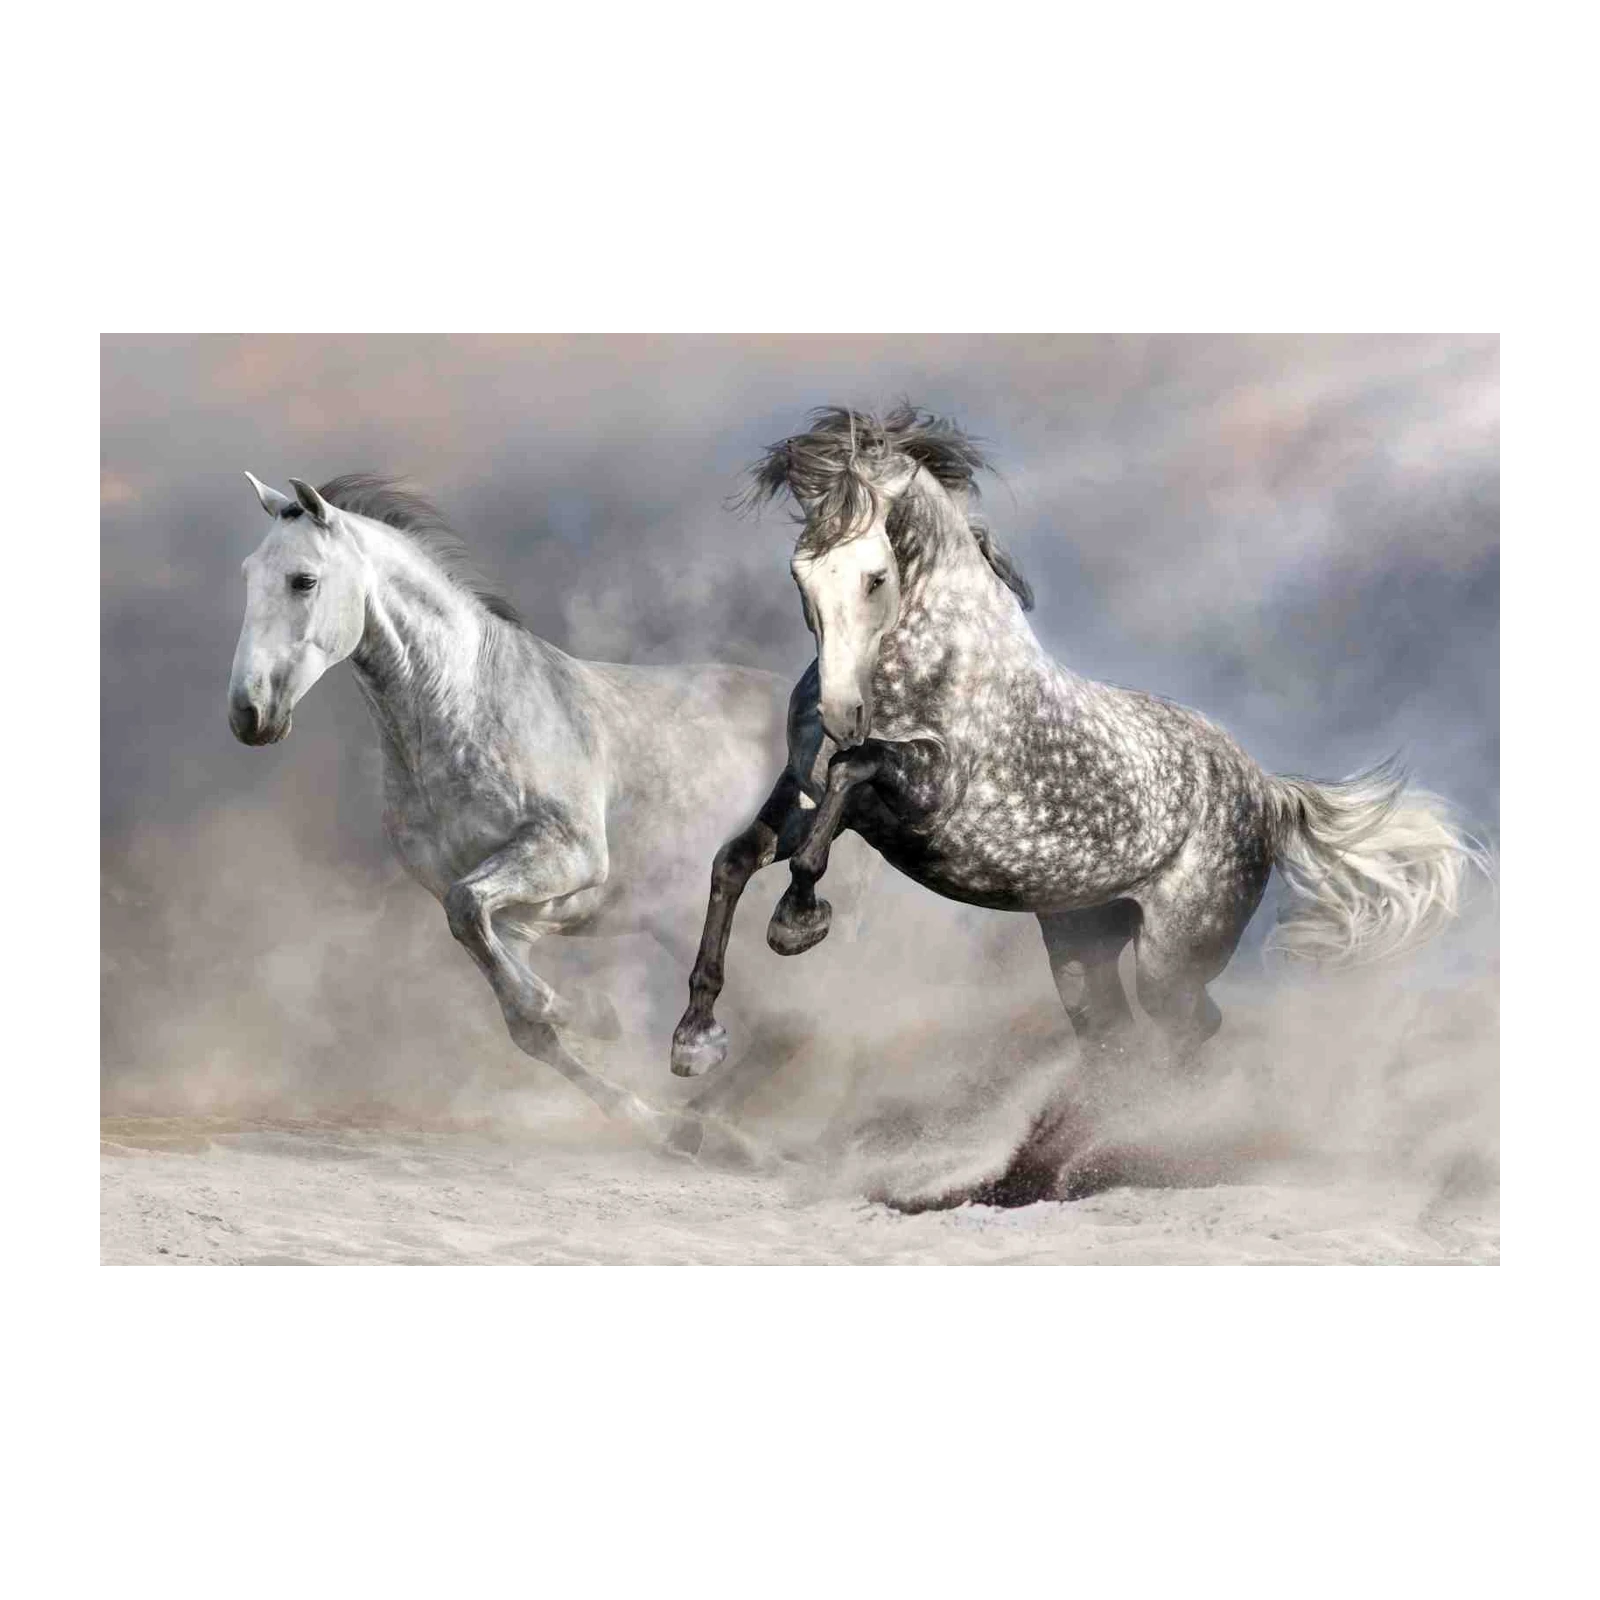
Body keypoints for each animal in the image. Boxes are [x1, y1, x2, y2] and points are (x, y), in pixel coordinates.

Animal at [227, 470, 809, 1147]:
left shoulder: (565, 857)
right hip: (680, 917)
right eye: (248, 575)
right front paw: (628, 1086)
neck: (464, 707)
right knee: (782, 1027)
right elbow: (520, 1016)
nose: (249, 715)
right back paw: (701, 1131)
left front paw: (597, 1015)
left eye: (304, 580)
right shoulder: (515, 919)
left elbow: (483, 932)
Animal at [669, 405, 1491, 1205]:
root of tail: (1268, 791)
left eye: (874, 577)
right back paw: (1041, 1170)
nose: (844, 713)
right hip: (1081, 942)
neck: (936, 661)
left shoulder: (928, 792)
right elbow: (736, 859)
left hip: (1171, 958)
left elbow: (849, 777)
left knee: (1186, 1034)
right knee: (1117, 1042)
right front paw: (695, 1039)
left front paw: (797, 920)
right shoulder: (807, 795)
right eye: (802, 573)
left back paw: (1107, 1154)